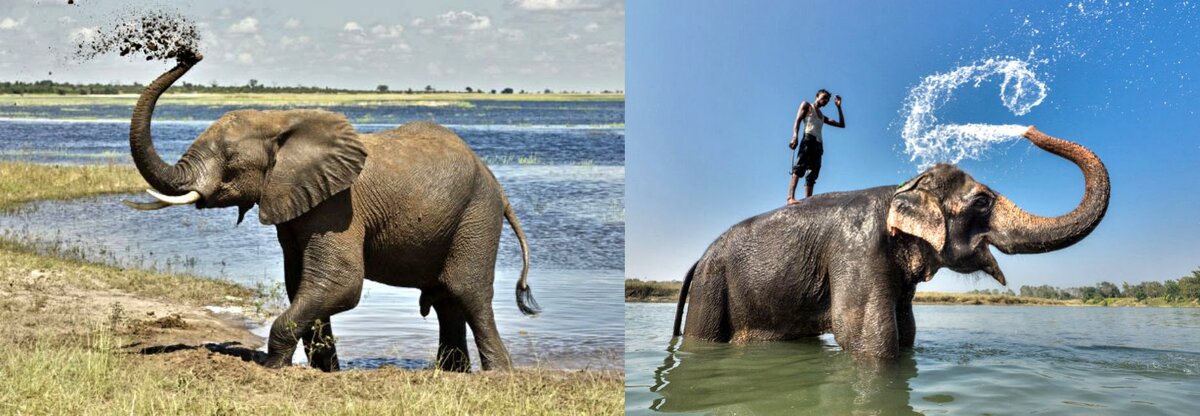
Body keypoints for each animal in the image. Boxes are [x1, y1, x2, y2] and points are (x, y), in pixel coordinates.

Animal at [123, 53, 538, 372]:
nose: (190, 55)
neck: (280, 121)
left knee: (467, 293)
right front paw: (325, 372)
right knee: (446, 302)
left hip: (477, 214)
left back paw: (498, 375)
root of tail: (496, 184)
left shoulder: (338, 205)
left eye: (228, 158)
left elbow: (340, 283)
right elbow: (302, 284)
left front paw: (272, 368)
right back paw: (452, 374)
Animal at [672, 127, 1109, 359]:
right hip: (712, 290)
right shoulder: (858, 251)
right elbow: (867, 337)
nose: (1028, 131)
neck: (900, 188)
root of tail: (699, 259)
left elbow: (907, 330)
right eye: (982, 202)